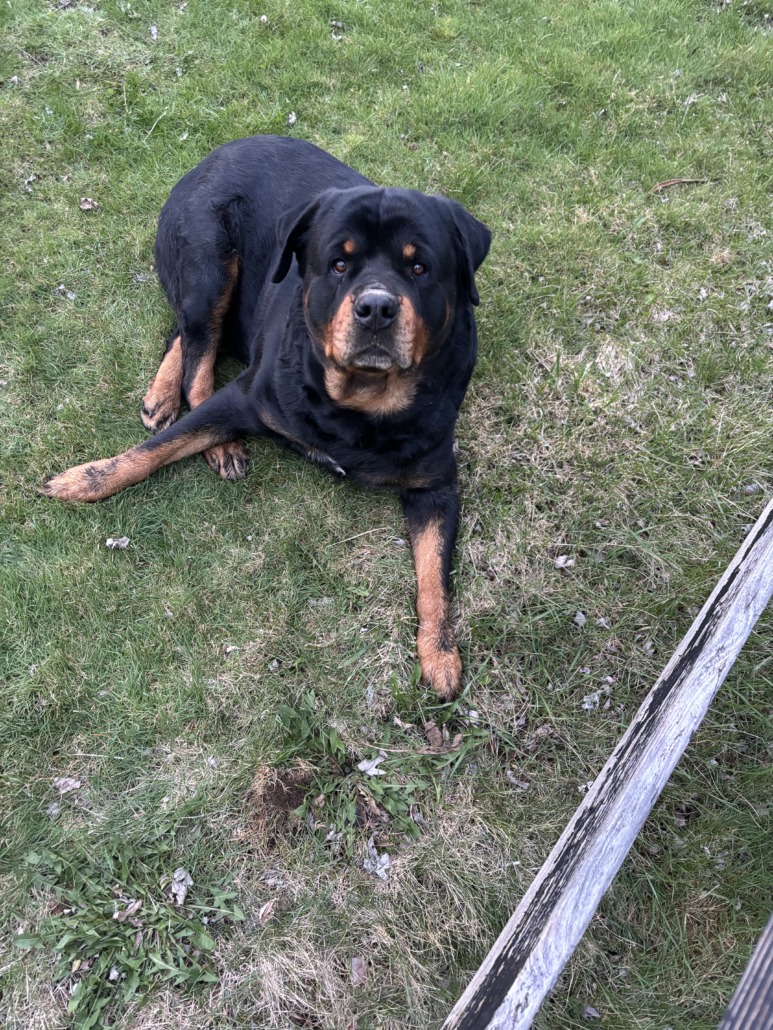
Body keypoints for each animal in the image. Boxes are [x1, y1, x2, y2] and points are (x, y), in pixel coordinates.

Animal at [44, 135, 491, 700]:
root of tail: (215, 154)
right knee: (196, 356)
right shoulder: (243, 397)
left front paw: (441, 652)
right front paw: (86, 479)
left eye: (419, 268)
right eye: (339, 264)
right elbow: (152, 451)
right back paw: (203, 428)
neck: (360, 405)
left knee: (184, 338)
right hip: (209, 262)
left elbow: (436, 575)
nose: (376, 308)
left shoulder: (436, 485)